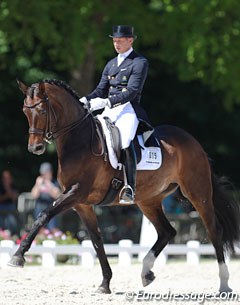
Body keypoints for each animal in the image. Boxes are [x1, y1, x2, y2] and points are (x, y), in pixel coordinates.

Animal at [8, 79, 239, 294]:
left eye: (41, 110)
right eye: (24, 111)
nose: (35, 148)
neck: (78, 141)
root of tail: (193, 142)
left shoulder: (75, 193)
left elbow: (43, 215)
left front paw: (17, 257)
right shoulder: (82, 204)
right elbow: (96, 240)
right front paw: (105, 283)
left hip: (198, 193)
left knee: (213, 231)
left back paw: (224, 285)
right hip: (148, 200)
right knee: (167, 231)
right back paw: (146, 273)